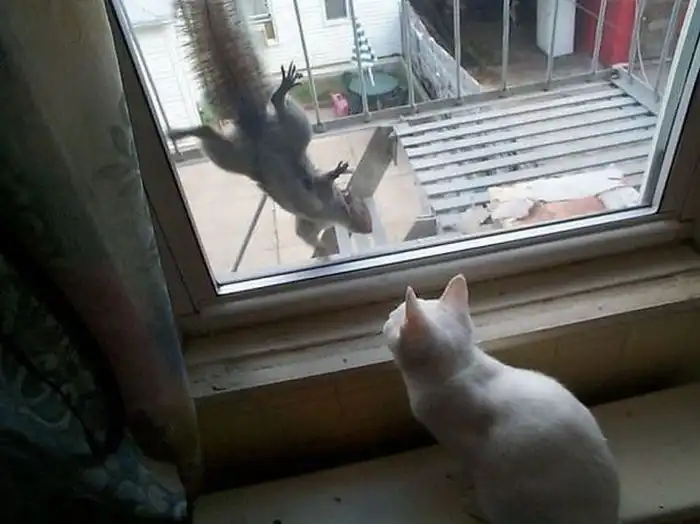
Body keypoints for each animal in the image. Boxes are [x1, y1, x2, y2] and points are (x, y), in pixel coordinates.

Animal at [169, 0, 373, 257]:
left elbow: (304, 235)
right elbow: (321, 184)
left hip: (231, 156)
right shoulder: (321, 198)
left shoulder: (311, 223)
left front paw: (321, 249)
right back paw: (280, 93)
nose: (370, 227)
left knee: (209, 135)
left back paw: (185, 132)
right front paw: (335, 172)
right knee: (281, 110)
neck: (336, 214)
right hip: (295, 127)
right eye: (361, 208)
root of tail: (256, 130)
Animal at [382, 274, 620, 524]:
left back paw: (473, 505)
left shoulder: (461, 443)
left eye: (393, 316)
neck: (459, 366)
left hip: (502, 490)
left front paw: (461, 478)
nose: (387, 316)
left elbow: (465, 465)